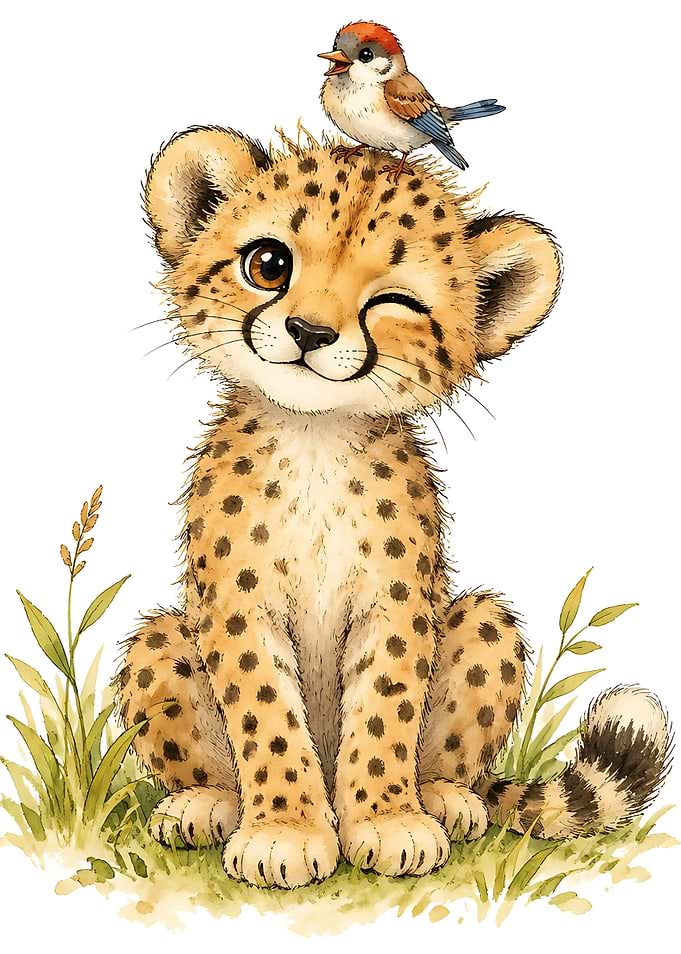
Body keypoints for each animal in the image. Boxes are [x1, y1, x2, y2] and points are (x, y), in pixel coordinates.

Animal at [116, 124, 671, 889]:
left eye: (396, 303)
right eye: (268, 264)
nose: (310, 332)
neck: (315, 435)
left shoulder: (397, 603)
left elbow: (384, 710)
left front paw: (384, 820)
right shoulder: (237, 605)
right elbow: (264, 715)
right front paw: (286, 829)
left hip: (485, 622)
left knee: (460, 753)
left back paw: (445, 798)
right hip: (163, 639)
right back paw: (206, 805)